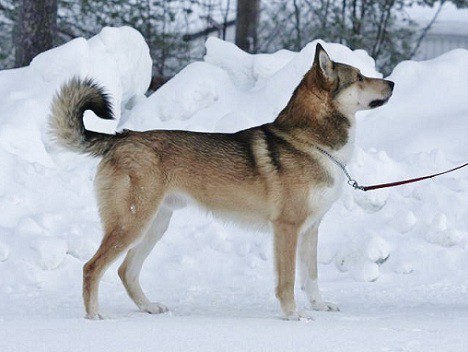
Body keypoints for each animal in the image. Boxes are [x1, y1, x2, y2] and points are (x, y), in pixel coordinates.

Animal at [49, 43, 394, 320]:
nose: (391, 83)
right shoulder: (287, 229)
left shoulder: (310, 229)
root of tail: (121, 138)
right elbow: (287, 281)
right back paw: (94, 316)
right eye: (360, 77)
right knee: (92, 268)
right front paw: (293, 315)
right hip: (132, 224)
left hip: (153, 226)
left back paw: (148, 307)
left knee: (125, 271)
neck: (310, 141)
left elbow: (311, 277)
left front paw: (319, 306)